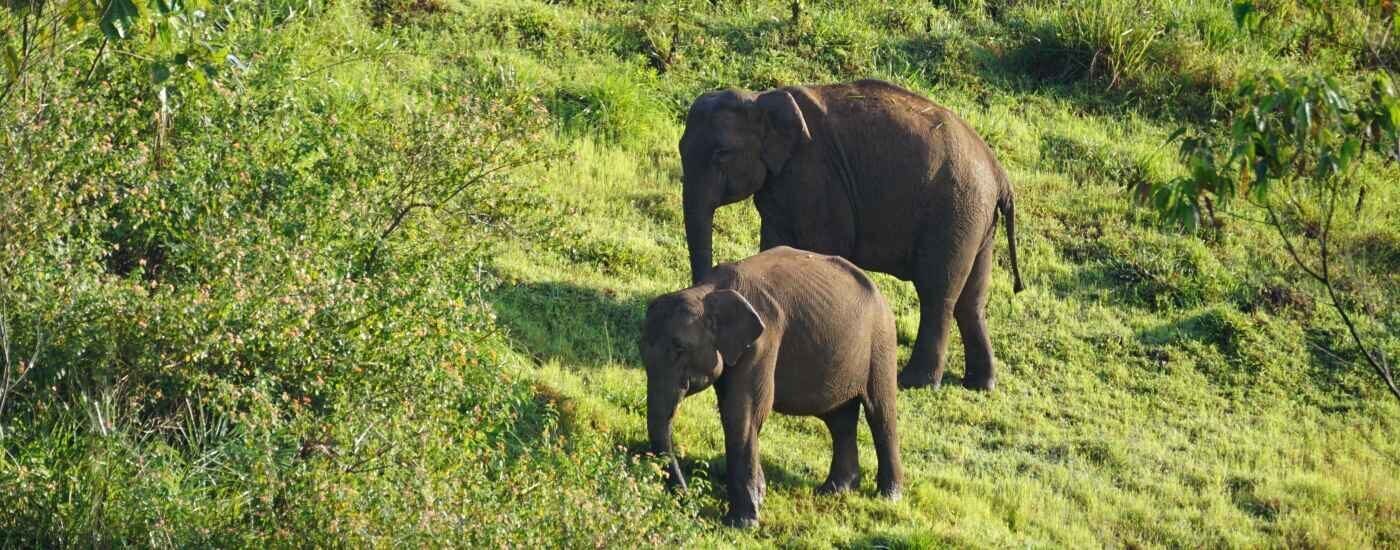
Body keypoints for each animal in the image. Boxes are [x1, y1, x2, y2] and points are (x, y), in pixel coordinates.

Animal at [641, 244, 901, 526]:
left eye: (680, 349)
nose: (688, 498)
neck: (708, 290)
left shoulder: (764, 342)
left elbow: (744, 413)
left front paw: (741, 523)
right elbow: (736, 408)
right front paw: (759, 496)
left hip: (881, 342)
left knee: (880, 414)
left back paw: (889, 496)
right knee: (839, 420)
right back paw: (834, 490)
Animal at [680, 79, 1030, 391]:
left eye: (722, 153)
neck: (761, 98)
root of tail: (1000, 174)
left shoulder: (818, 178)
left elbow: (823, 246)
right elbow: (775, 244)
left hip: (954, 212)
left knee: (937, 293)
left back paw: (915, 383)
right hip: (978, 221)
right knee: (971, 300)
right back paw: (981, 385)